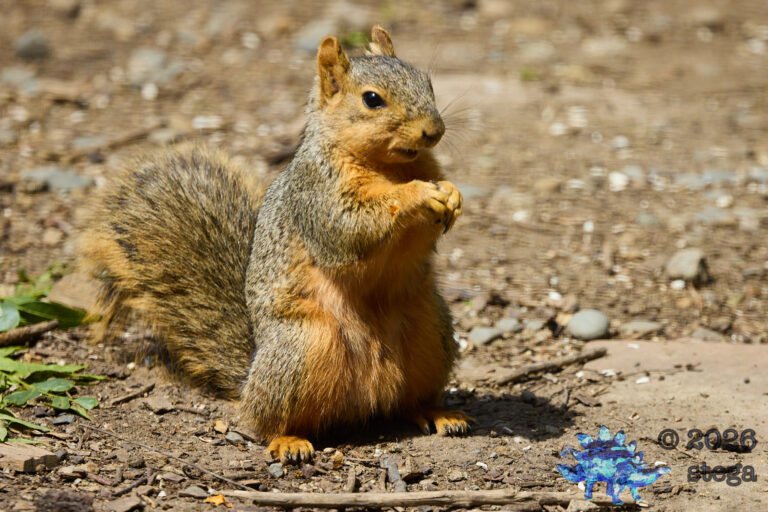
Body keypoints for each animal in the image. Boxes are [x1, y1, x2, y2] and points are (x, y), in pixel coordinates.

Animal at [80, 26, 469, 463]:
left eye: (428, 82)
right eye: (372, 99)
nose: (433, 131)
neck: (392, 165)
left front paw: (451, 194)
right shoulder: (316, 195)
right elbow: (349, 227)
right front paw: (417, 194)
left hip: (431, 333)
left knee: (410, 400)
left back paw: (439, 413)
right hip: (302, 348)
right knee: (266, 420)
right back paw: (288, 440)